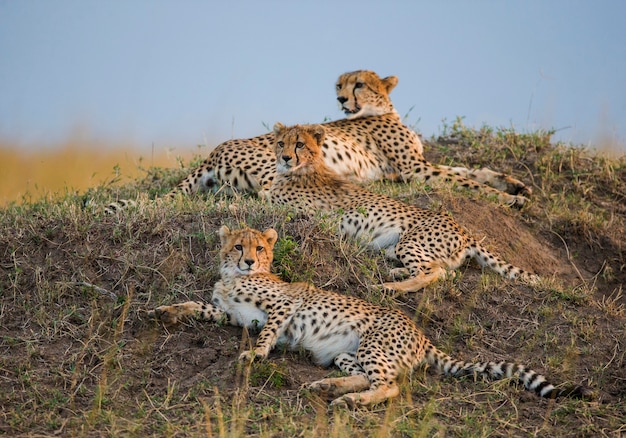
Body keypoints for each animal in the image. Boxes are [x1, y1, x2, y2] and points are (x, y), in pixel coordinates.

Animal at [106, 70, 528, 214]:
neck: (382, 109)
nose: (340, 99)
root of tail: (213, 152)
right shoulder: (413, 169)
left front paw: (514, 184)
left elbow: (470, 170)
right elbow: (464, 179)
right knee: (268, 193)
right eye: (339, 85)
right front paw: (508, 199)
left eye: (357, 83)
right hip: (277, 165)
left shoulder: (416, 166)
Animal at [149, 226, 588, 408]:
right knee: (366, 376)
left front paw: (254, 356)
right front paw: (167, 312)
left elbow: (268, 333)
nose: (249, 261)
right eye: (238, 246)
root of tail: (422, 335)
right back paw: (328, 387)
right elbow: (198, 307)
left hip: (375, 343)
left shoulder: (283, 306)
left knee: (390, 387)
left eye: (260, 248)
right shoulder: (234, 316)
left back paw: (350, 401)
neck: (233, 276)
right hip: (349, 351)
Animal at [264, 123, 536, 294]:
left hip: (410, 242)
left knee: (430, 273)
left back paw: (388, 288)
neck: (306, 167)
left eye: (299, 144)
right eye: (281, 143)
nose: (285, 157)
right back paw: (397, 273)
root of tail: (463, 230)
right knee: (444, 272)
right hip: (395, 248)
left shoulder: (308, 213)